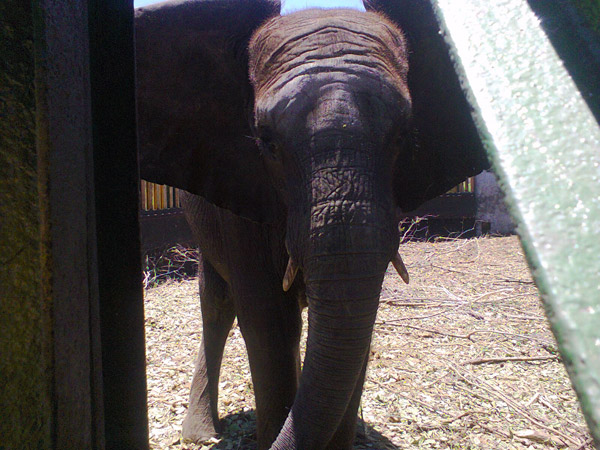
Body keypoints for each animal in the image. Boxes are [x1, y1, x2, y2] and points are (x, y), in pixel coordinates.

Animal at [135, 0, 488, 446]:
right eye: (266, 141)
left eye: (403, 135)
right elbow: (269, 322)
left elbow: (357, 322)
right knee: (216, 302)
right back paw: (201, 433)